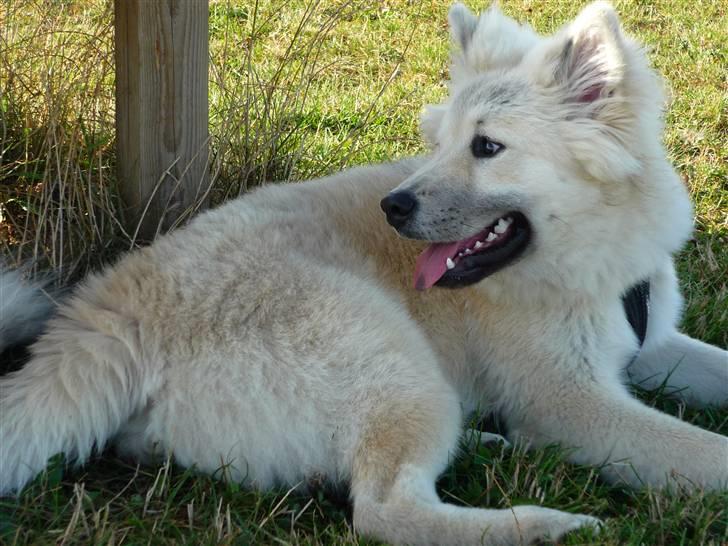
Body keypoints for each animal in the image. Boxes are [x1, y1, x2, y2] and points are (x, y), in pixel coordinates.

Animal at [0, 4, 724, 544]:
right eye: (442, 142)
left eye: (487, 146)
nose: (392, 208)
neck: (591, 256)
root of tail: (117, 311)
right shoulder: (570, 402)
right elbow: (702, 450)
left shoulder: (651, 345)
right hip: (392, 360)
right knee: (383, 511)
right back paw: (545, 525)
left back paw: (493, 445)